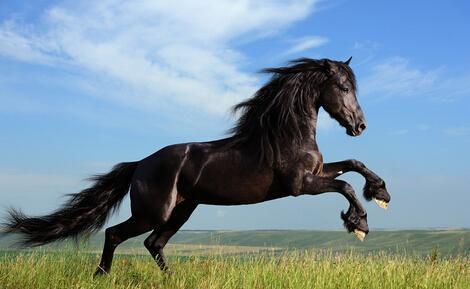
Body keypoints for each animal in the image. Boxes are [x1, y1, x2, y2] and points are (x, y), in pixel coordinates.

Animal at [3, 56, 390, 274]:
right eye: (343, 87)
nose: (360, 125)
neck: (286, 134)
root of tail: (139, 164)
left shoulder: (315, 173)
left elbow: (353, 164)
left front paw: (381, 193)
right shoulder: (300, 185)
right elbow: (345, 185)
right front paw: (359, 223)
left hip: (182, 210)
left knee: (154, 244)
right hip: (154, 212)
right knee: (117, 234)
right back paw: (101, 275)